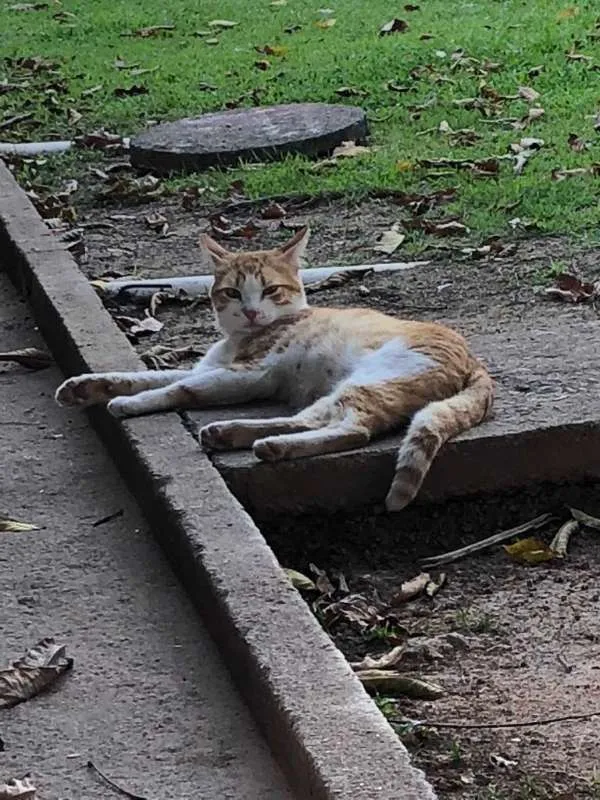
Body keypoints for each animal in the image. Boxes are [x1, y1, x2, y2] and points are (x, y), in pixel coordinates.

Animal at [56, 225, 492, 512]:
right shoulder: (211, 367)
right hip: (351, 389)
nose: (251, 311)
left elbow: (176, 389)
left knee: (351, 430)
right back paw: (239, 436)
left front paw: (128, 404)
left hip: (372, 378)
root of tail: (477, 363)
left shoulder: (249, 374)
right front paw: (85, 387)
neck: (240, 340)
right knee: (317, 421)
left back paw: (258, 441)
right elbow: (144, 376)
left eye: (270, 290)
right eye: (232, 292)